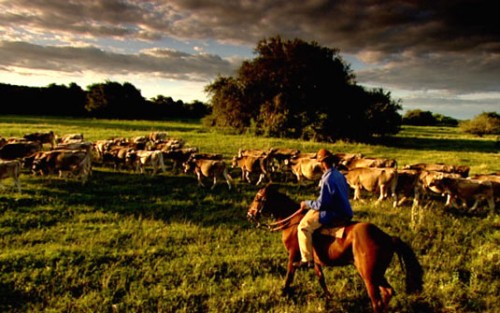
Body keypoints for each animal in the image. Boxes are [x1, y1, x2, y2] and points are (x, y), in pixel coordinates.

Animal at [246, 184, 422, 310]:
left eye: (258, 198)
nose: (249, 214)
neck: (292, 221)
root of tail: (388, 237)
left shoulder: (293, 255)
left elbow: (289, 275)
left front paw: (283, 292)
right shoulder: (316, 261)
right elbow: (321, 279)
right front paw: (329, 297)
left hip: (369, 275)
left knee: (377, 301)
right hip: (377, 274)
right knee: (388, 292)